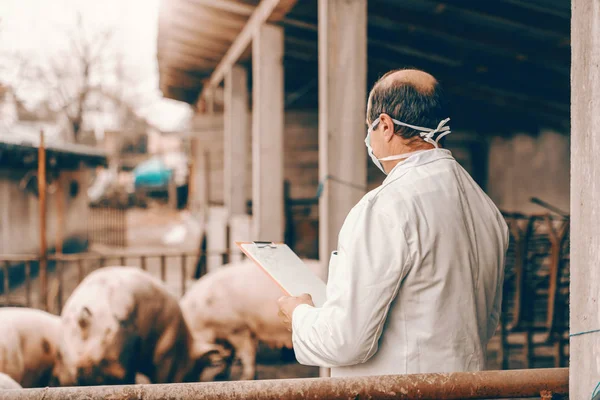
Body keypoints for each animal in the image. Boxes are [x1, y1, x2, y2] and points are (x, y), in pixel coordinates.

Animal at [52, 268, 223, 386]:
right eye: (195, 368)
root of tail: (84, 319)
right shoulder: (166, 351)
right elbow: (163, 377)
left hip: (73, 355)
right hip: (114, 353)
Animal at [180, 258, 326, 380]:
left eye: (194, 361)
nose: (188, 380)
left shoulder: (239, 328)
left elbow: (247, 354)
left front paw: (245, 379)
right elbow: (229, 355)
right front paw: (220, 376)